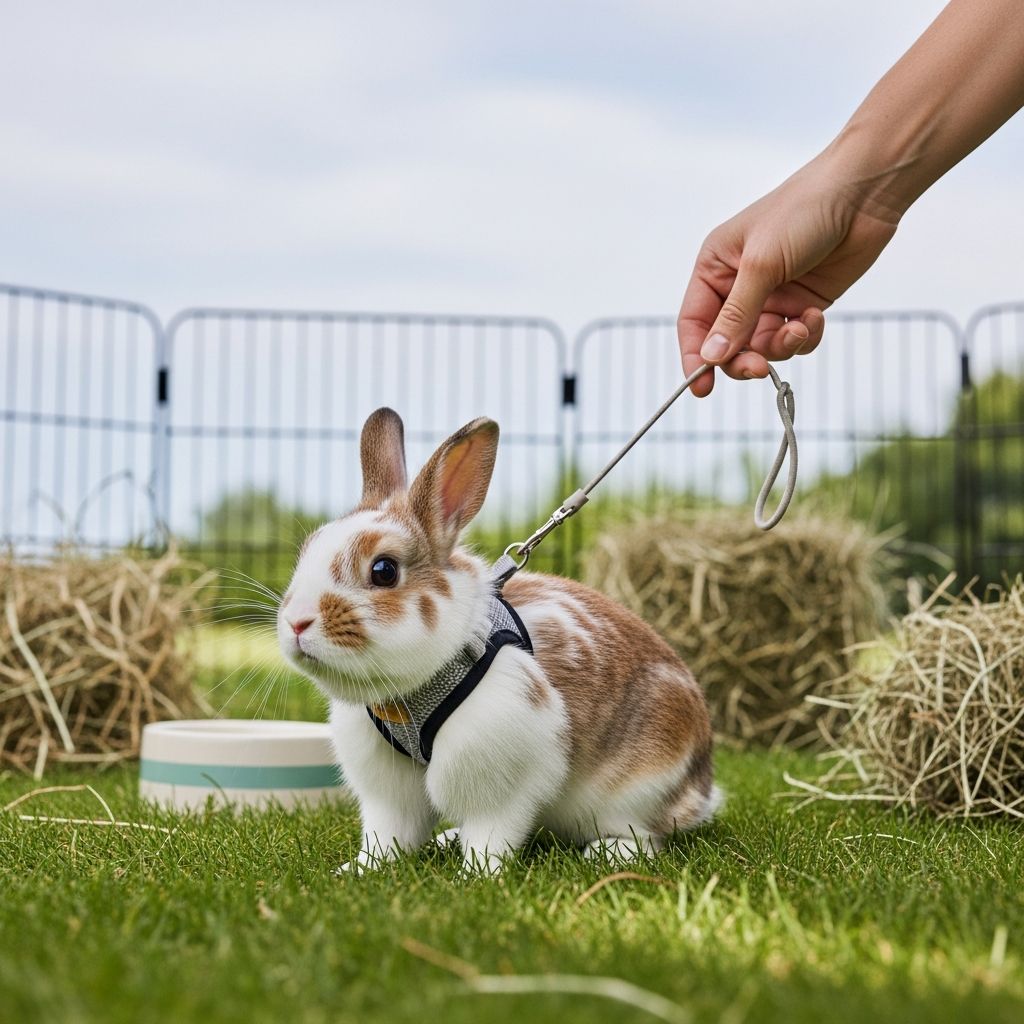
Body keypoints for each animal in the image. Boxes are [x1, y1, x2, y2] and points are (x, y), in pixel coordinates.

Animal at [277, 407, 720, 875]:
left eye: (384, 570)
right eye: (308, 550)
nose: (296, 622)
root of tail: (699, 789)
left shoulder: (502, 770)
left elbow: (491, 830)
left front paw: (477, 874)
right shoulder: (387, 789)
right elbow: (388, 833)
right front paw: (360, 870)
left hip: (637, 789)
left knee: (650, 836)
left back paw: (609, 852)